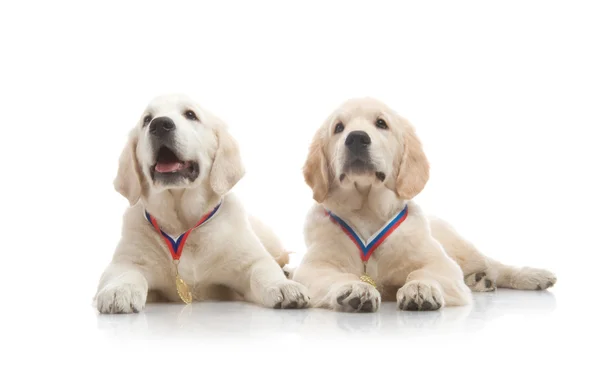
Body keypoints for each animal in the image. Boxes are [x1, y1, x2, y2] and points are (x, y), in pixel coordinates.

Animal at [95, 94, 310, 314]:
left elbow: (264, 270)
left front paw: (284, 286)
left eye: (191, 114)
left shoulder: (249, 261)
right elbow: (126, 273)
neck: (183, 224)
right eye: (146, 120)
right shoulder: (124, 261)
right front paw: (119, 290)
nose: (159, 125)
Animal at [292, 96, 556, 312]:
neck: (368, 210)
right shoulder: (314, 266)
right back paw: (479, 281)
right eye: (338, 127)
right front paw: (356, 288)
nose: (356, 138)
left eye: (381, 123)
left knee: (495, 265)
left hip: (462, 249)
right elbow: (335, 276)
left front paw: (421, 288)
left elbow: (423, 271)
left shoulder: (441, 263)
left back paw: (533, 276)